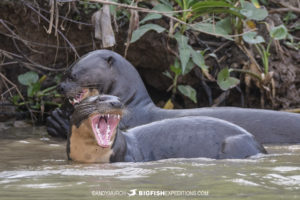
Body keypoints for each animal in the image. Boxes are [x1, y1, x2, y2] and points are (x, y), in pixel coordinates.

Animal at [67, 94, 264, 162]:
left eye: (119, 97)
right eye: (99, 98)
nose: (116, 103)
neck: (89, 156)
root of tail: (259, 145)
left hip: (234, 143)